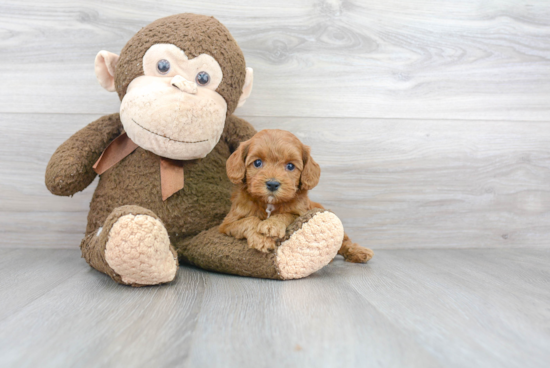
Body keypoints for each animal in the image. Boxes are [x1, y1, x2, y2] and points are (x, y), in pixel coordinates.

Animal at [220, 128, 376, 264]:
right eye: (257, 162)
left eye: (290, 166)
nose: (272, 184)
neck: (270, 204)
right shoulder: (227, 225)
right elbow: (249, 220)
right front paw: (262, 239)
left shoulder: (301, 212)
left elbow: (287, 215)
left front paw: (272, 225)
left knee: (344, 242)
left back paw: (359, 252)